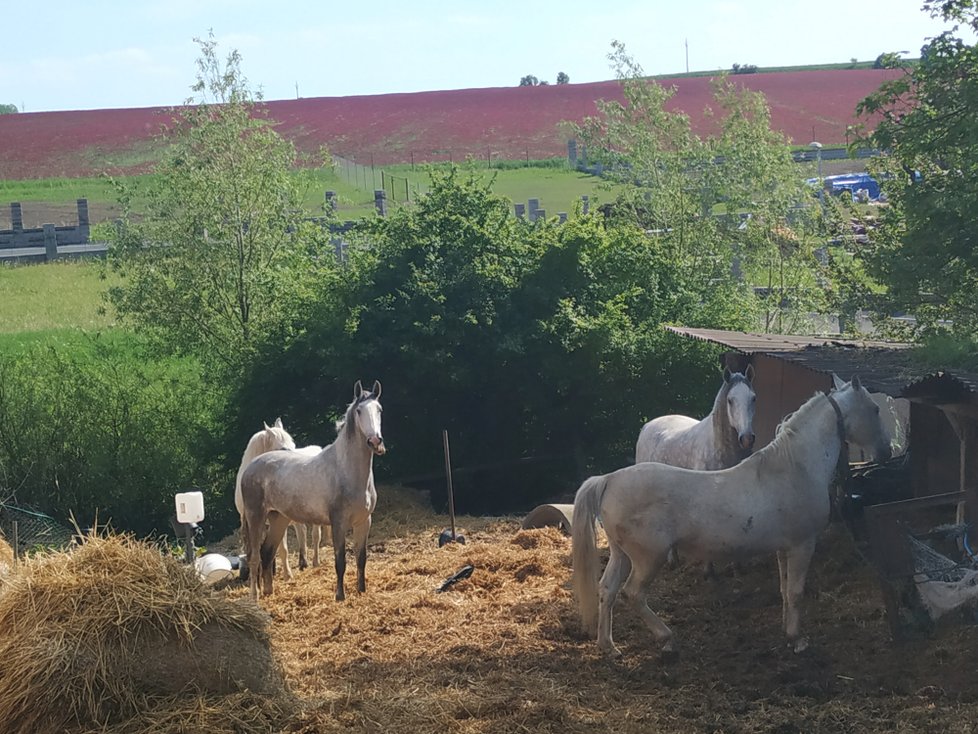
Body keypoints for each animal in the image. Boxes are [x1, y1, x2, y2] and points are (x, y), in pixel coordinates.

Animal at [240, 380, 386, 604]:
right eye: (359, 411)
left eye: (379, 409)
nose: (375, 442)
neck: (345, 470)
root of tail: (250, 467)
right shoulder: (338, 523)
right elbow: (340, 560)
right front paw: (340, 596)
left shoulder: (364, 521)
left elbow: (361, 558)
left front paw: (362, 590)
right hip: (256, 518)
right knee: (255, 556)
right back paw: (254, 598)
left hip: (279, 519)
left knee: (268, 552)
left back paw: (269, 592)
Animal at [572, 376, 892, 660]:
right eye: (875, 409)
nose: (886, 452)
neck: (795, 468)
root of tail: (609, 479)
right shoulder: (803, 545)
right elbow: (797, 592)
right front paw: (798, 640)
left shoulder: (784, 549)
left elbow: (785, 590)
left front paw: (787, 632)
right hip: (649, 558)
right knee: (633, 594)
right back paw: (667, 639)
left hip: (621, 554)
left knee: (607, 590)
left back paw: (608, 646)